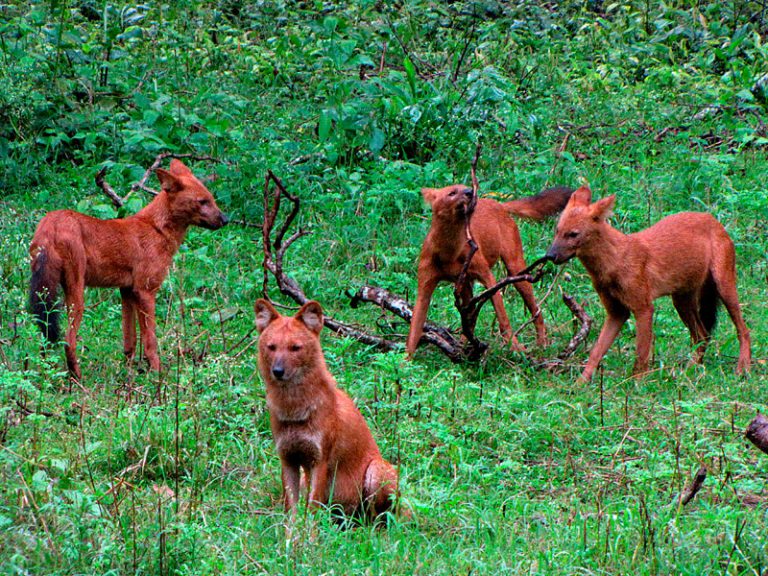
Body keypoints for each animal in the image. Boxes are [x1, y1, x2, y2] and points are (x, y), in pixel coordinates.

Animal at [30, 160, 228, 380]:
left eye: (211, 199)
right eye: (202, 201)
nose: (225, 219)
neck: (156, 230)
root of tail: (51, 221)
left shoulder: (126, 291)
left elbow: (129, 341)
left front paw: (128, 375)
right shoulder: (145, 291)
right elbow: (150, 342)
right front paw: (157, 376)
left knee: (45, 339)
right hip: (76, 295)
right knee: (68, 341)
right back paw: (77, 379)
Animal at [255, 300, 400, 520]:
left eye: (295, 348)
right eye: (271, 347)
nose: (278, 371)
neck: (294, 409)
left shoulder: (319, 460)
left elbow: (313, 508)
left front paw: (309, 531)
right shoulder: (288, 459)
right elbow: (292, 510)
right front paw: (291, 531)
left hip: (375, 472)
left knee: (377, 516)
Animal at [404, 184, 572, 356]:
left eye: (464, 187)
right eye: (452, 193)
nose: (470, 192)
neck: (449, 253)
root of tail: (498, 203)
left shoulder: (487, 276)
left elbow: (503, 318)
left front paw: (516, 348)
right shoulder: (424, 285)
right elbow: (414, 330)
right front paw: (405, 360)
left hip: (516, 269)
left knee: (536, 310)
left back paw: (541, 344)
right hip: (465, 284)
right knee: (469, 316)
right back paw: (465, 345)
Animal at [544, 186, 752, 382]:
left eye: (573, 234)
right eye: (557, 231)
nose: (550, 255)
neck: (615, 262)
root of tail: (712, 219)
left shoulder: (643, 308)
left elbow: (641, 354)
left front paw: (637, 384)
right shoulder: (617, 312)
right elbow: (596, 352)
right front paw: (580, 384)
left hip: (724, 287)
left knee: (743, 330)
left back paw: (742, 369)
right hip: (681, 301)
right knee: (702, 336)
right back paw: (688, 372)